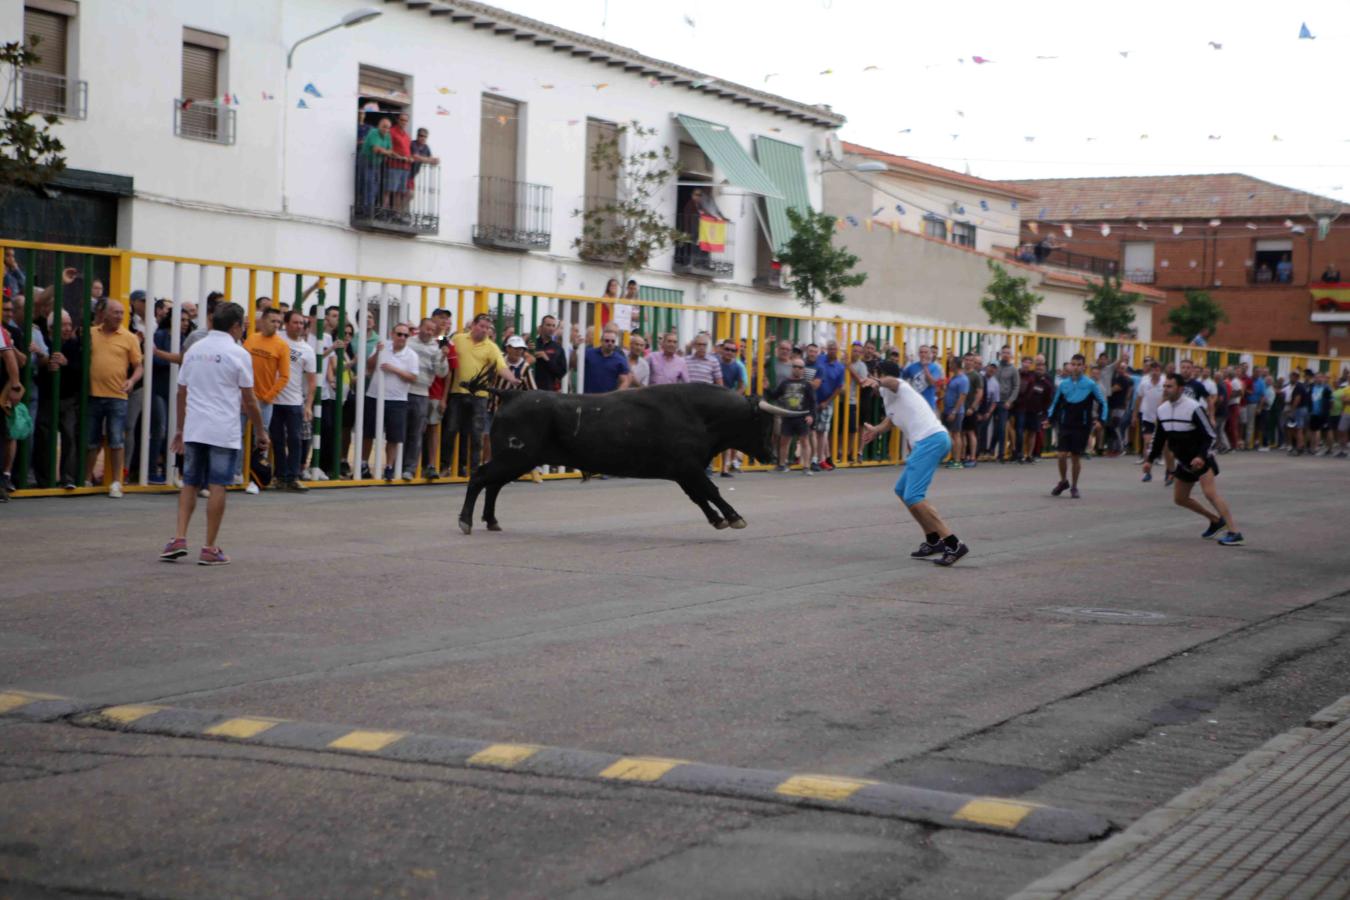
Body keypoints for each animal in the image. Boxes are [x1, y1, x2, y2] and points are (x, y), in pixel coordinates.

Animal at [459, 383, 804, 534]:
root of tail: (512, 393)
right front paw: (734, 517)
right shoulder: (690, 468)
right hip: (515, 457)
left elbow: (699, 496)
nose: (771, 454)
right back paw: (466, 521)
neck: (698, 413)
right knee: (480, 478)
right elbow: (711, 490)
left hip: (517, 459)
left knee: (493, 485)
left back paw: (491, 521)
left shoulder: (683, 472)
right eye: (762, 423)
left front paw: (718, 519)